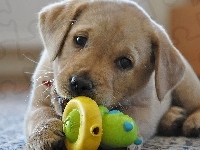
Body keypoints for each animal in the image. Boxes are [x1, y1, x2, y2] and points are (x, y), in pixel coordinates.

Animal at [24, 0, 200, 149]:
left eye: (125, 62)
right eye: (79, 39)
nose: (80, 83)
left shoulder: (145, 109)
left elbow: (134, 119)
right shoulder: (37, 103)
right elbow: (41, 115)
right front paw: (45, 133)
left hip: (187, 86)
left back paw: (192, 121)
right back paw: (173, 118)